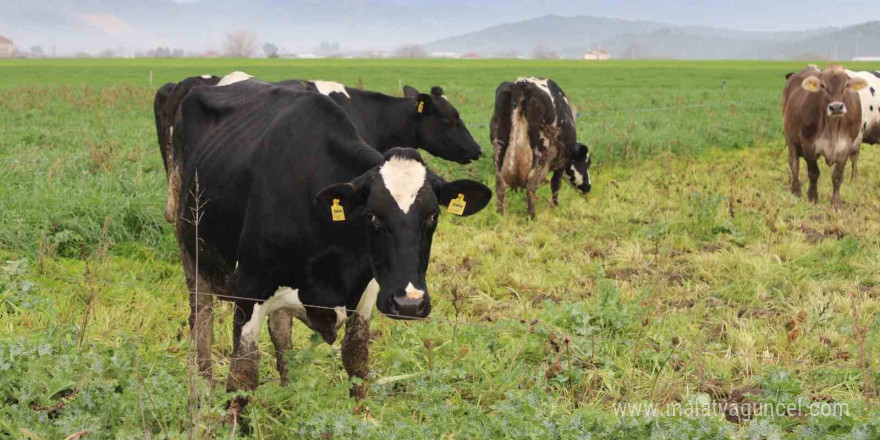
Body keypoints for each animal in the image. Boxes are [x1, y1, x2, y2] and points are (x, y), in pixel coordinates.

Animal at [172, 77, 488, 400]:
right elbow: (242, 377)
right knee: (202, 321)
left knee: (280, 330)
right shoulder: (251, 287)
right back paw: (203, 389)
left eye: (433, 216)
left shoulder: (368, 288)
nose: (409, 304)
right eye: (372, 215)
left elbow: (356, 361)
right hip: (189, 244)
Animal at [488, 78, 592, 220]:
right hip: (541, 148)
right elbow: (555, 184)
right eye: (586, 163)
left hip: (498, 144)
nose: (588, 186)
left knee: (500, 183)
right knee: (531, 185)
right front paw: (555, 208)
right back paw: (532, 217)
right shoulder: (561, 162)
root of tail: (521, 82)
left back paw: (500, 215)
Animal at [784, 64, 868, 209]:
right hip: (791, 139)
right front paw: (812, 197)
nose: (836, 107)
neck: (832, 127)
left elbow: (837, 175)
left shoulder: (846, 145)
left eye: (846, 85)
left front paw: (836, 203)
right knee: (794, 164)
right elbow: (813, 172)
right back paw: (796, 190)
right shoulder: (807, 143)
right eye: (823, 85)